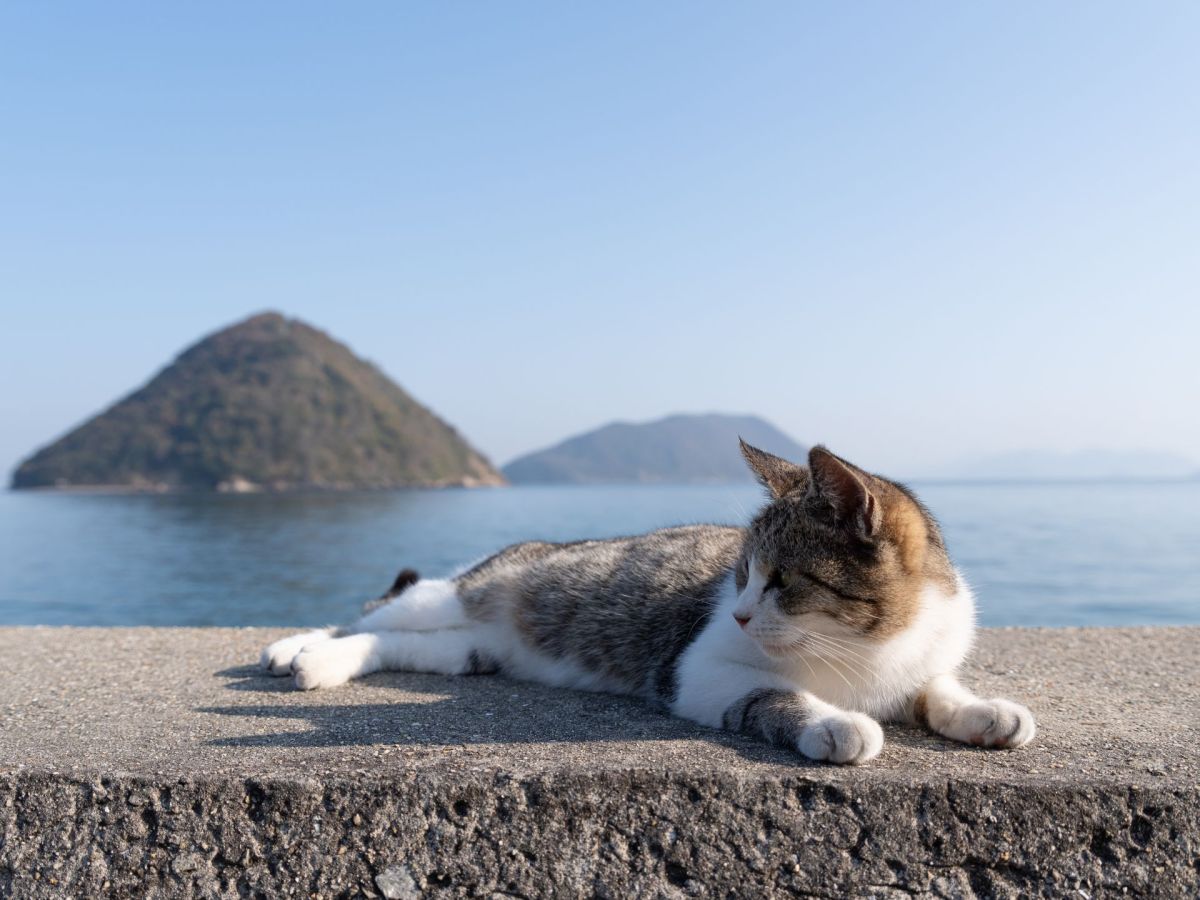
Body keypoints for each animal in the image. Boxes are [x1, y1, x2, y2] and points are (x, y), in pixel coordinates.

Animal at [260, 441, 1032, 763]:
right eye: (739, 574)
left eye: (780, 580)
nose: (742, 614)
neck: (869, 649)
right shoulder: (694, 671)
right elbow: (777, 694)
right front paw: (835, 724)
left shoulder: (923, 660)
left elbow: (937, 689)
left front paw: (986, 713)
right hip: (454, 593)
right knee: (365, 613)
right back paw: (293, 649)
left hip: (469, 650)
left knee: (397, 644)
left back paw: (321, 665)